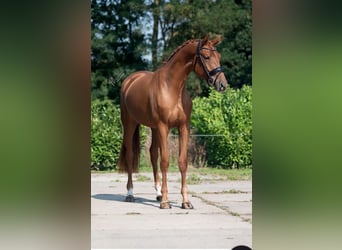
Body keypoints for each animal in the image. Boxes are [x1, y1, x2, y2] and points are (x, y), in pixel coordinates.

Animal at [117, 34, 227, 208]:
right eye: (206, 57)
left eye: (219, 56)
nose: (222, 84)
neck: (172, 87)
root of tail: (129, 81)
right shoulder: (164, 127)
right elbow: (165, 162)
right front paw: (165, 202)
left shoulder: (183, 127)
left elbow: (182, 162)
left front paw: (185, 201)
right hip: (130, 124)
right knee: (130, 155)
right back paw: (130, 194)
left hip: (153, 128)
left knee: (153, 154)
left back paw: (157, 193)